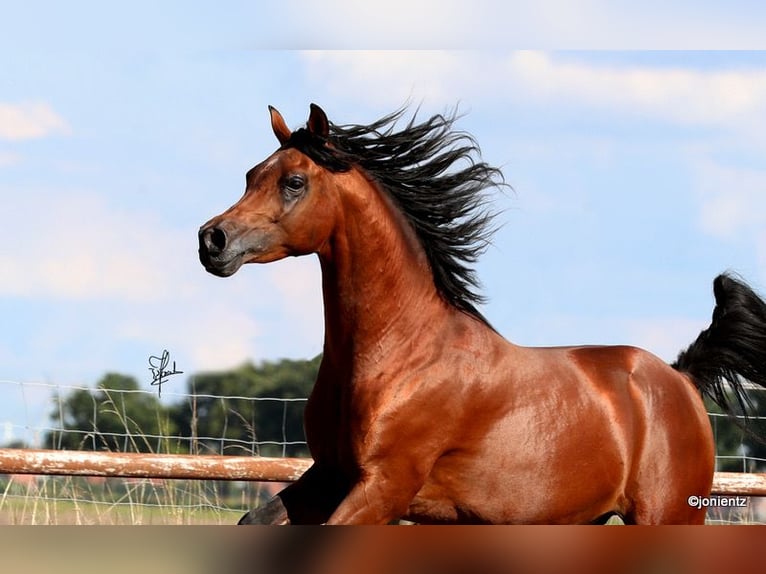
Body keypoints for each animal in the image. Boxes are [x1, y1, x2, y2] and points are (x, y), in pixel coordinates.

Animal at [198, 103, 766, 524]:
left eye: (293, 182)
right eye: (251, 174)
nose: (212, 240)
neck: (400, 352)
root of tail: (679, 377)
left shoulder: (383, 486)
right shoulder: (330, 474)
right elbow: (254, 518)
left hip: (669, 513)